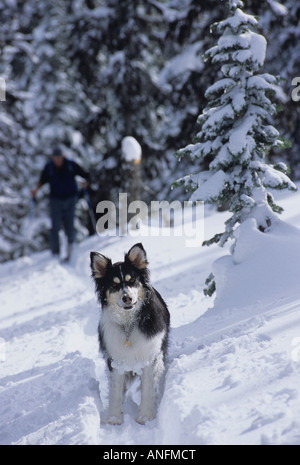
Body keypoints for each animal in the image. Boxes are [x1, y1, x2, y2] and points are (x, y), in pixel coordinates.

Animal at [89, 243, 170, 424]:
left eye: (132, 280)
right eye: (114, 285)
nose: (127, 298)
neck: (128, 323)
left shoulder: (149, 355)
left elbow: (147, 388)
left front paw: (145, 416)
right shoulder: (116, 360)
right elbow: (116, 390)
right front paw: (113, 418)